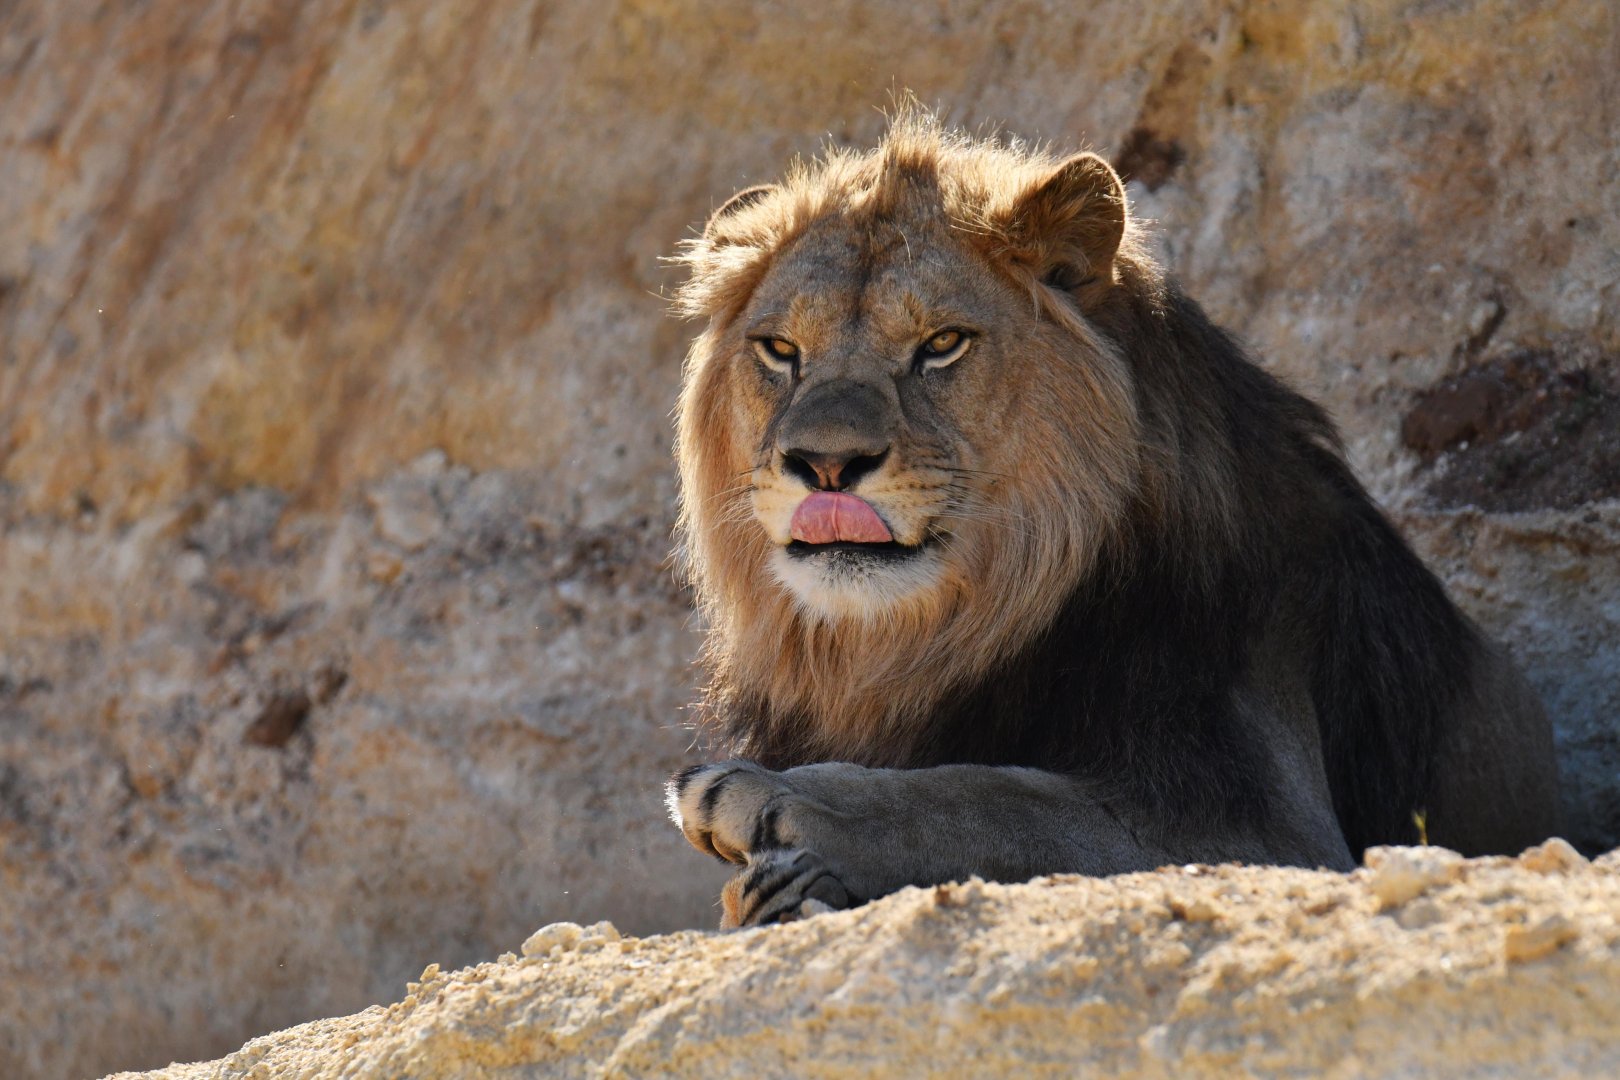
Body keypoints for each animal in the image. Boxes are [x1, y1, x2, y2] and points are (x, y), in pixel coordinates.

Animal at [665, 113, 1560, 929]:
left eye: (943, 343)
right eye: (781, 351)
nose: (825, 465)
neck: (921, 641)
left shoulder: (1265, 823)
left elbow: (991, 799)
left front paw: (773, 799)